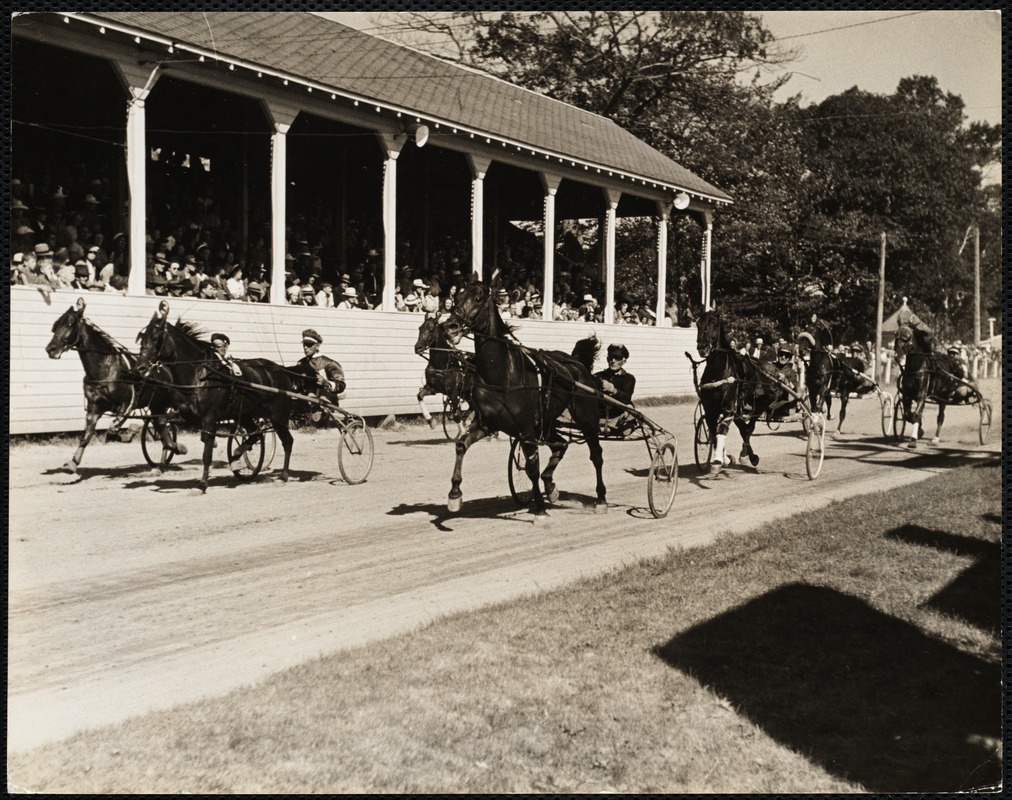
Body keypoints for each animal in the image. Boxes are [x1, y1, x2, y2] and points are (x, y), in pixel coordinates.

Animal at [44, 299, 182, 475]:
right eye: (55, 325)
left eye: (70, 323)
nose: (51, 349)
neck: (106, 368)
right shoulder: (94, 408)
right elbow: (87, 435)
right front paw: (73, 462)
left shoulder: (126, 405)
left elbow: (112, 431)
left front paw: (131, 431)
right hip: (157, 406)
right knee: (162, 428)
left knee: (168, 426)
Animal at [133, 299, 295, 491]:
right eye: (142, 337)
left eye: (156, 339)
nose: (140, 367)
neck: (200, 375)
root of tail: (280, 370)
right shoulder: (187, 413)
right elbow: (163, 424)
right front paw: (178, 447)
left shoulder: (210, 417)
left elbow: (207, 452)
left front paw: (203, 483)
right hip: (246, 414)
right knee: (256, 434)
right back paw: (237, 454)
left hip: (278, 416)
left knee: (287, 441)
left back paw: (283, 476)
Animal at [441, 275, 599, 515]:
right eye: (456, 297)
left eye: (478, 298)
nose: (451, 326)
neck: (503, 375)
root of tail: (576, 362)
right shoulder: (487, 423)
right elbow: (460, 445)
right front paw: (454, 494)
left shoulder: (525, 429)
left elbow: (531, 466)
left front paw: (540, 509)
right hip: (546, 422)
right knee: (561, 444)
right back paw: (550, 485)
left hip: (585, 417)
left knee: (596, 454)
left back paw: (602, 499)